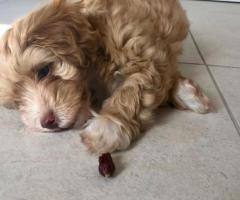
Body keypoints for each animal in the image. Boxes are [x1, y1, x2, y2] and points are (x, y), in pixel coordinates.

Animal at [0, 0, 210, 154]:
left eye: (43, 70)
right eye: (16, 102)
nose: (47, 122)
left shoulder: (145, 57)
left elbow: (132, 90)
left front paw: (108, 127)